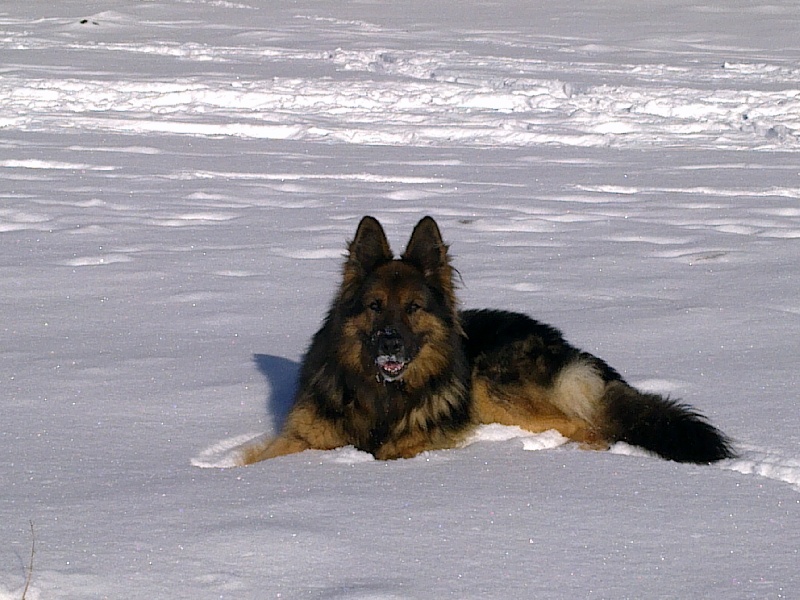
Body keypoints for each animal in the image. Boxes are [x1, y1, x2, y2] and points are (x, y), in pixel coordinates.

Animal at [222, 216, 736, 464]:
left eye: (413, 308)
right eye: (374, 307)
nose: (389, 344)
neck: (382, 396)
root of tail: (559, 338)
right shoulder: (302, 438)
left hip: (492, 385)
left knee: (591, 427)